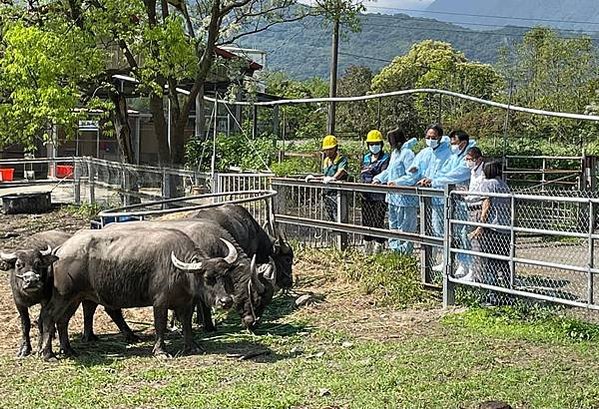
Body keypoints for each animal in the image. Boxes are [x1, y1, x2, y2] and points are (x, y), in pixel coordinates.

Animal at [38, 228, 240, 358]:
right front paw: (161, 351)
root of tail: (60, 250)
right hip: (63, 295)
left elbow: (187, 325)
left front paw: (192, 346)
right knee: (49, 316)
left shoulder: (186, 303)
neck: (181, 271)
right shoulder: (160, 303)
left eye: (225, 275)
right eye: (207, 277)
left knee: (63, 321)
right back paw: (47, 353)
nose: (226, 301)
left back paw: (68, 350)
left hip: (75, 298)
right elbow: (160, 325)